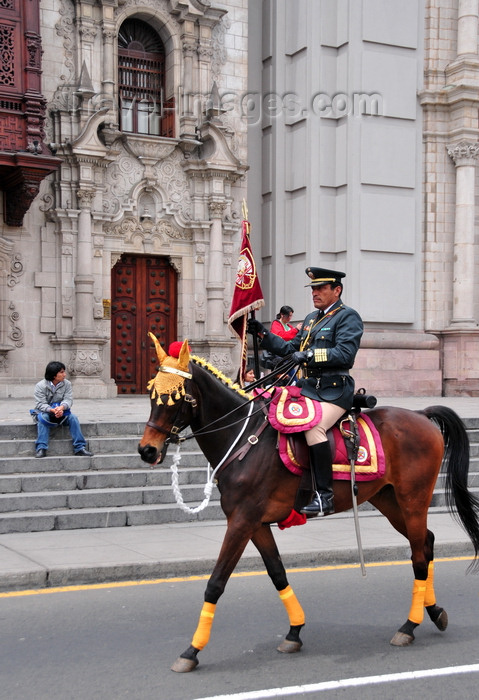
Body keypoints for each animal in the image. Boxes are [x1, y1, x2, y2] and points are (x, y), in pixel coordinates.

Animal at [138, 338, 479, 672]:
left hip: (413, 500)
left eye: (174, 398)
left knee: (420, 554)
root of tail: (420, 414)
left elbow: (216, 583)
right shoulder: (255, 523)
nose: (147, 450)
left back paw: (409, 625)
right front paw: (294, 631)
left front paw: (192, 650)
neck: (244, 438)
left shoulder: (241, 521)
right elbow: (277, 573)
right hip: (388, 499)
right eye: (152, 393)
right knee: (425, 543)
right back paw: (433, 612)